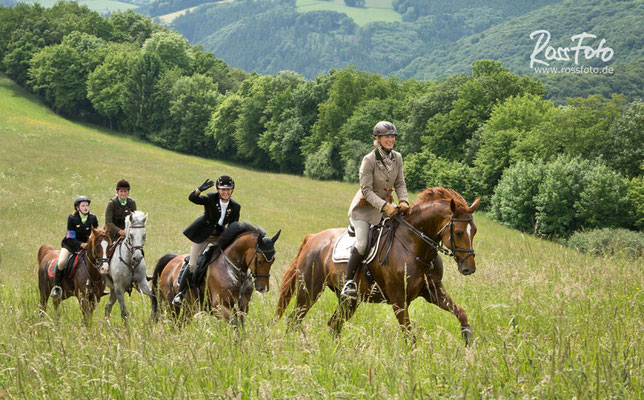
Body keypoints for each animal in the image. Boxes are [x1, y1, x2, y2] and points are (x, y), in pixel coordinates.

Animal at [152, 220, 284, 326]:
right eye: (260, 260)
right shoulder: (219, 306)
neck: (234, 273)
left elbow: (240, 328)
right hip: (172, 306)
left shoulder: (243, 306)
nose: (263, 288)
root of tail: (171, 260)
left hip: (189, 309)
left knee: (181, 324)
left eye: (273, 260)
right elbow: (234, 324)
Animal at [274, 188, 480, 340]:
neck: (415, 245)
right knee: (294, 320)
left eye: (475, 231)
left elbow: (461, 313)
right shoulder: (399, 300)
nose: (469, 268)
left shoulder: (433, 291)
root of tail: (312, 238)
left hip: (349, 300)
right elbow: (409, 336)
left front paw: (467, 343)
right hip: (309, 290)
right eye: (459, 232)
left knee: (334, 325)